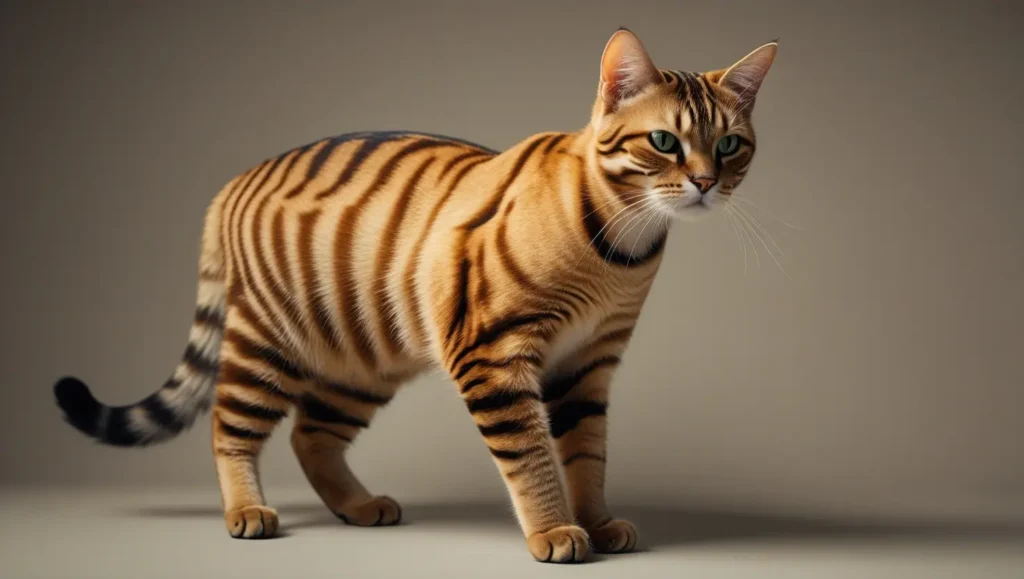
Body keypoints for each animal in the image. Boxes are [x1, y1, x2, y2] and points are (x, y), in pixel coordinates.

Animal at [52, 28, 777, 563]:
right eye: (663, 141)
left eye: (729, 144)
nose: (706, 182)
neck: (625, 244)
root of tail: (232, 182)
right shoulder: (496, 351)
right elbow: (533, 456)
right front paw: (554, 531)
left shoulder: (589, 364)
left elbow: (588, 453)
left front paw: (597, 522)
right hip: (267, 344)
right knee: (229, 428)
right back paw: (248, 510)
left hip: (361, 362)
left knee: (310, 435)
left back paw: (359, 505)